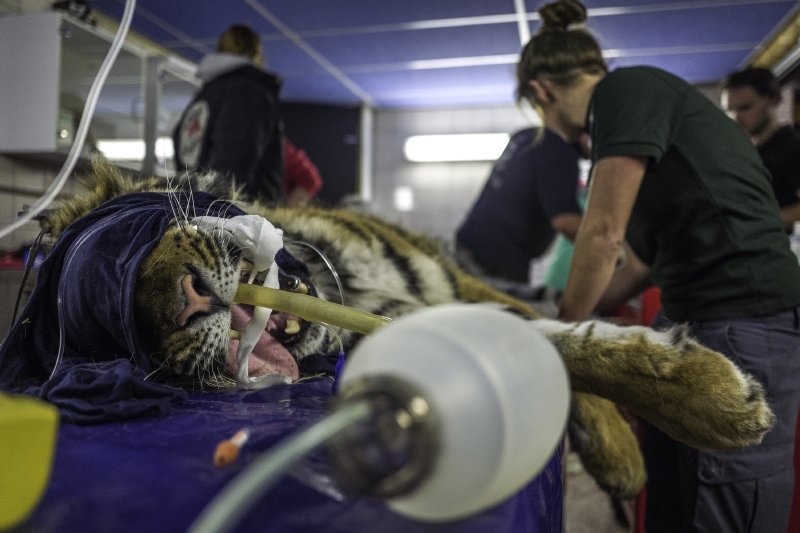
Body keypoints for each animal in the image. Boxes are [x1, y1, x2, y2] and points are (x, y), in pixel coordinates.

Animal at [34, 162, 780, 498]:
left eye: (146, 237)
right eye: (125, 333)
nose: (185, 298)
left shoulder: (456, 285)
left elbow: (567, 338)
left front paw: (694, 412)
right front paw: (712, 399)